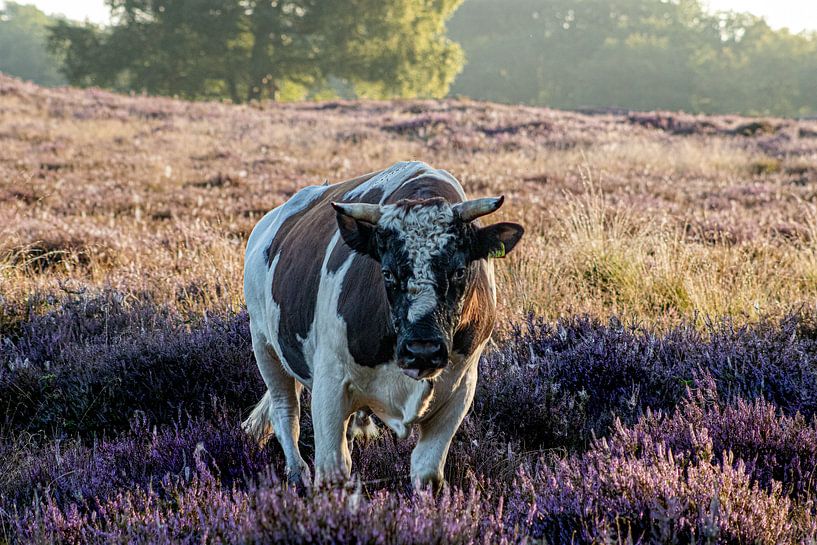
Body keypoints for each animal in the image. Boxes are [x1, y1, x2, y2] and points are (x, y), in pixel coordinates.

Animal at [242, 161, 523, 490]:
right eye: (387, 273)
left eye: (459, 271)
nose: (422, 351)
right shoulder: (330, 383)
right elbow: (333, 470)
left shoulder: (460, 390)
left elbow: (427, 472)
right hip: (264, 345)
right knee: (286, 412)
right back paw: (297, 474)